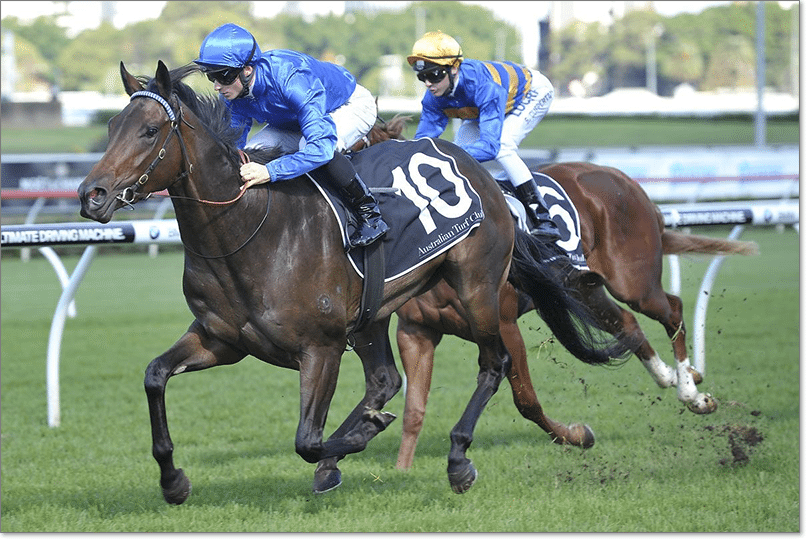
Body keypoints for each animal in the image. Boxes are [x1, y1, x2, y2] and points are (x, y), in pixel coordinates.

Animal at [77, 61, 632, 504]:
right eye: (112, 125)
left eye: (150, 130)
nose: (91, 194)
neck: (247, 232)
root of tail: (481, 171)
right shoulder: (221, 339)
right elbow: (154, 376)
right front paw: (173, 481)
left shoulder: (320, 347)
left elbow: (306, 439)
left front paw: (358, 438)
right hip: (374, 313)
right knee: (386, 379)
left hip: (478, 285)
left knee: (493, 365)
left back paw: (456, 460)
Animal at [348, 117, 756, 470]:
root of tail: (624, 179)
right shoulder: (417, 332)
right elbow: (414, 411)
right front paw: (401, 470)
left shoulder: (503, 325)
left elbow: (526, 400)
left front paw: (577, 435)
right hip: (584, 287)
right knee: (627, 325)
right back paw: (670, 377)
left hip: (633, 280)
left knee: (670, 309)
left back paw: (691, 392)